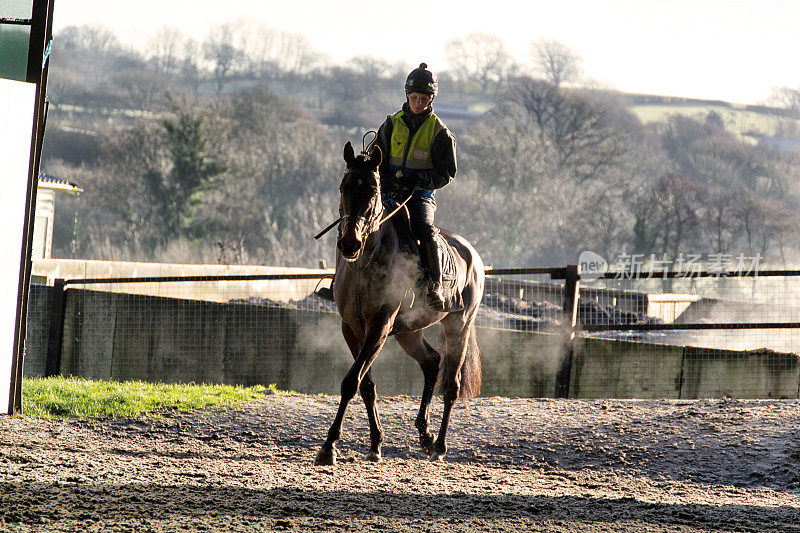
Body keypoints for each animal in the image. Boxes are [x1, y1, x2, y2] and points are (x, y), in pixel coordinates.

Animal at [316, 141, 484, 466]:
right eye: (344, 186)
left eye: (373, 192)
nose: (350, 244)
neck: (366, 263)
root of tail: (473, 255)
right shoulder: (350, 328)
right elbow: (365, 385)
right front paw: (375, 444)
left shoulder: (379, 326)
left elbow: (351, 382)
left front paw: (329, 447)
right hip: (409, 332)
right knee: (431, 363)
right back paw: (425, 435)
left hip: (458, 327)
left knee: (452, 386)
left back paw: (440, 446)